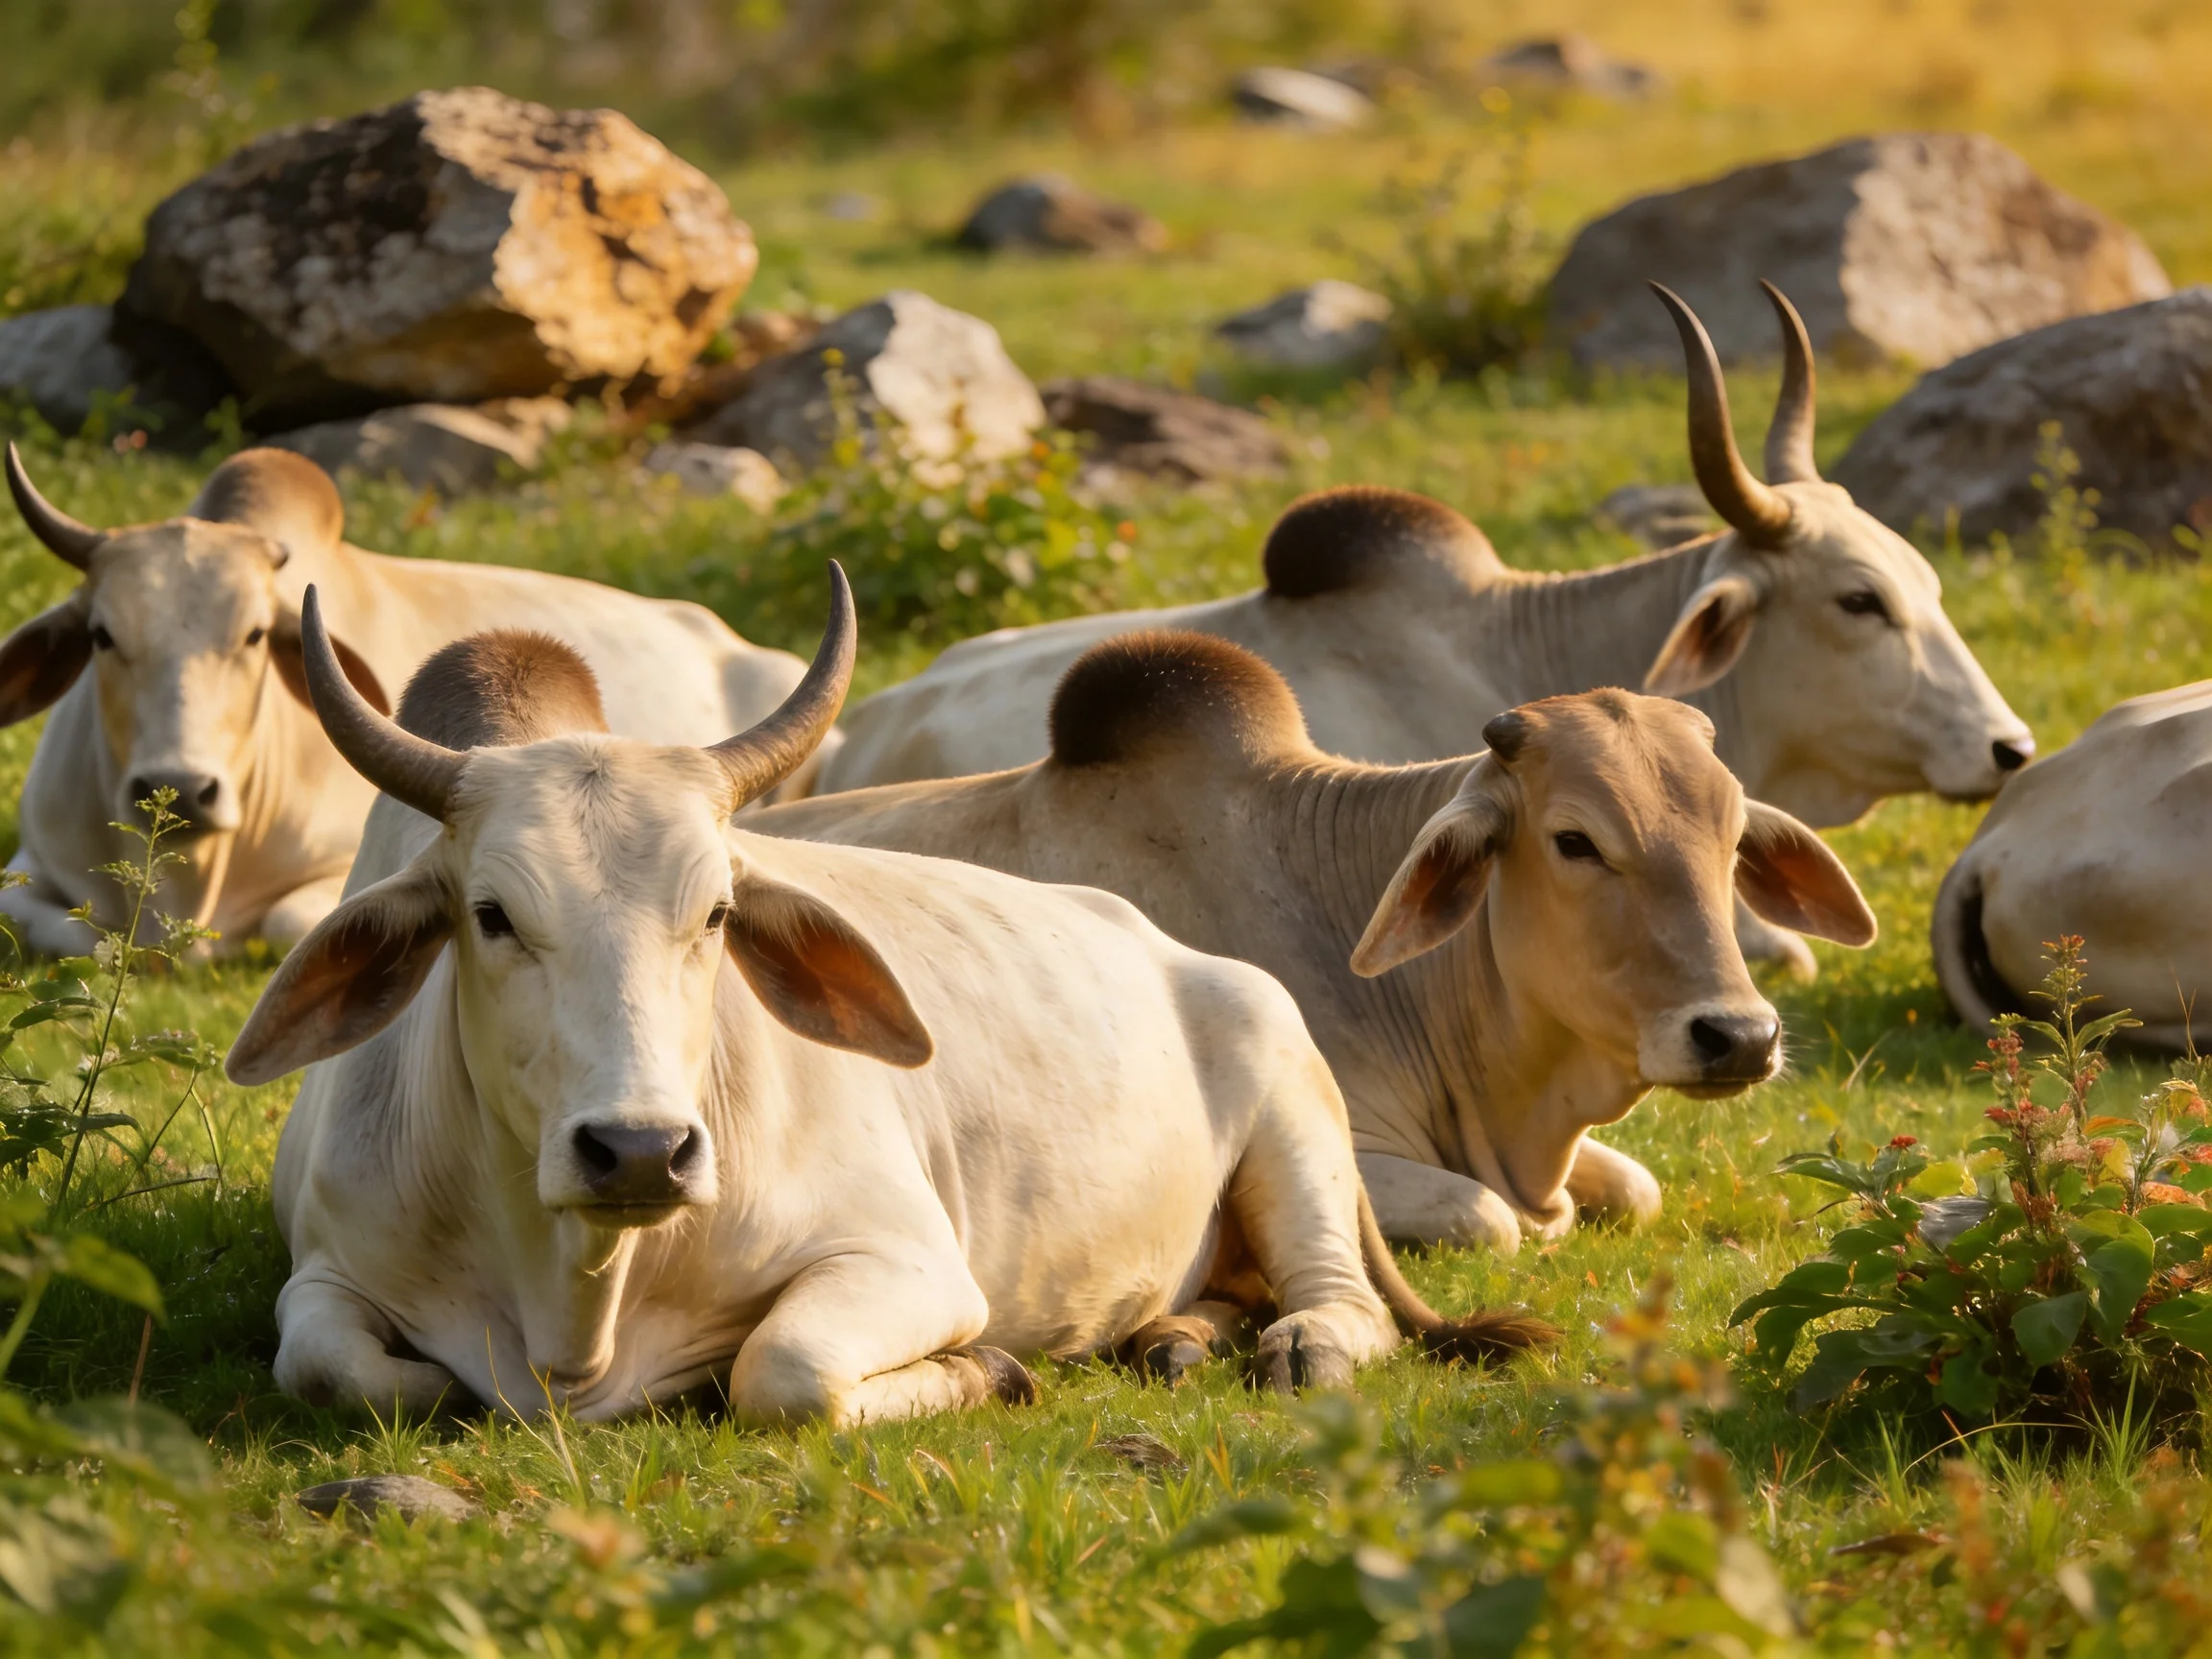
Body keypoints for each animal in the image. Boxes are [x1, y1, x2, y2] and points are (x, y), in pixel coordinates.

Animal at [0, 443, 820, 958]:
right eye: (103, 635)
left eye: (255, 635)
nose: (178, 786)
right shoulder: (31, 865)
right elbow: (85, 937)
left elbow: (285, 921)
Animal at [223, 569, 1552, 1422]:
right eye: (492, 916)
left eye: (717, 913)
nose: (640, 1152)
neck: (578, 1301)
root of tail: (1177, 951)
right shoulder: (326, 1275)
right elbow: (348, 1373)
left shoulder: (909, 1265)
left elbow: (784, 1374)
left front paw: (989, 1373)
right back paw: (1171, 1340)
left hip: (1298, 1125)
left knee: (1339, 1303)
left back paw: (1294, 1345)